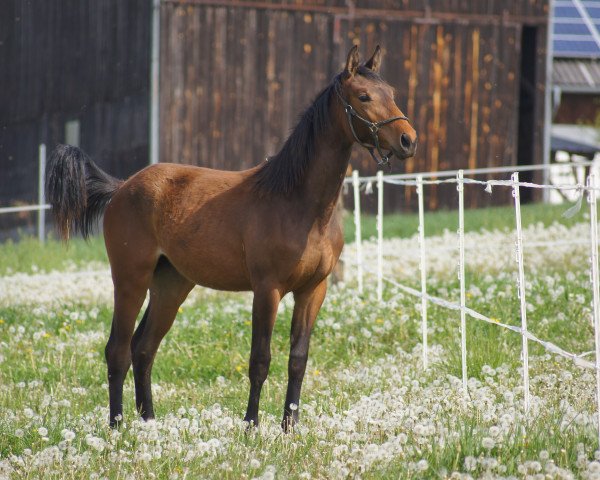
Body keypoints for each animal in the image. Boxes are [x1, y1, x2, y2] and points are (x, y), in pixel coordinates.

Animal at [45, 46, 418, 432]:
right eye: (363, 96)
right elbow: (260, 360)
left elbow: (298, 360)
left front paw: (290, 427)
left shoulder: (313, 290)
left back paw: (149, 422)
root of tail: (121, 187)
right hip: (130, 280)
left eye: (391, 92)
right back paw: (117, 426)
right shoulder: (267, 290)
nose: (408, 140)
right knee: (117, 349)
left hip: (171, 285)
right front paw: (251, 425)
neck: (298, 202)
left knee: (143, 348)